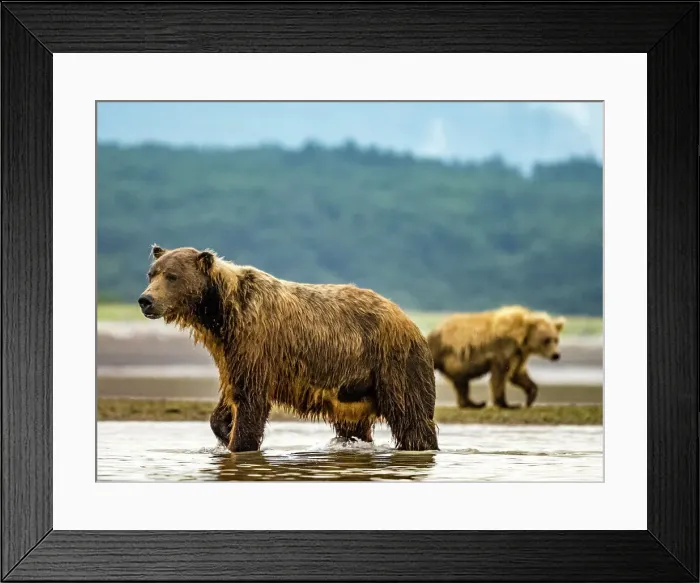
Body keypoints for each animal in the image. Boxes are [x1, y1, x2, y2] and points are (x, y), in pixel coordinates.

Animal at [138, 244, 439, 452]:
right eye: (152, 273)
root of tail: (408, 319)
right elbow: (230, 395)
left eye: (172, 276)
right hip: (354, 387)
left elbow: (250, 399)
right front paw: (224, 429)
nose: (145, 300)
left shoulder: (255, 340)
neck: (219, 315)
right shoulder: (228, 352)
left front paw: (239, 443)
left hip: (394, 363)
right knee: (353, 425)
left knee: (411, 416)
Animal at [426, 305, 565, 409]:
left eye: (556, 339)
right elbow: (500, 375)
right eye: (546, 340)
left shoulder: (519, 354)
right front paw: (506, 404)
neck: (520, 339)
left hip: (455, 363)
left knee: (461, 382)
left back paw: (475, 403)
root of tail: (434, 329)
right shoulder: (502, 349)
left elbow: (517, 374)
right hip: (440, 349)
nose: (556, 355)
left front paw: (530, 397)